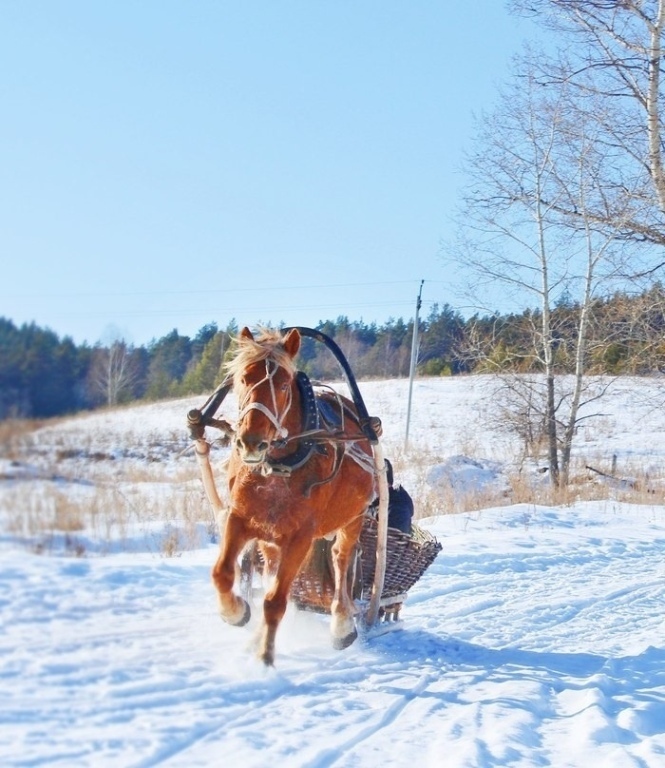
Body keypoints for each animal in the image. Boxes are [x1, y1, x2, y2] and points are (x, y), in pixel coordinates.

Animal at [213, 328, 378, 664]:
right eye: (243, 379)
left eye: (283, 385)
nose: (252, 442)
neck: (278, 466)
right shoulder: (240, 518)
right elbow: (223, 573)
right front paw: (235, 612)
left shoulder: (301, 536)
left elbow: (276, 600)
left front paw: (265, 656)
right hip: (271, 536)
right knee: (271, 572)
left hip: (352, 519)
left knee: (340, 559)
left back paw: (342, 624)